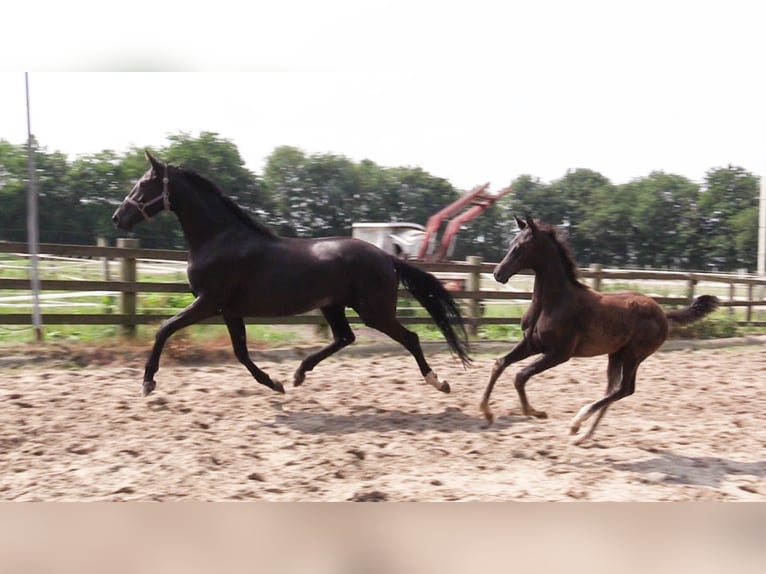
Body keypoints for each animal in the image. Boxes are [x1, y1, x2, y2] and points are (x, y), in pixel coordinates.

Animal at [111, 151, 472, 398]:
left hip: (373, 311)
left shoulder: (208, 302)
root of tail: (385, 255)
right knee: (345, 337)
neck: (220, 239)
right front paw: (275, 383)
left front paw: (148, 382)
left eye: (145, 184)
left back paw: (438, 382)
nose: (118, 217)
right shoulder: (228, 310)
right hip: (333, 306)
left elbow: (164, 329)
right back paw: (299, 374)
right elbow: (240, 353)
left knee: (408, 338)